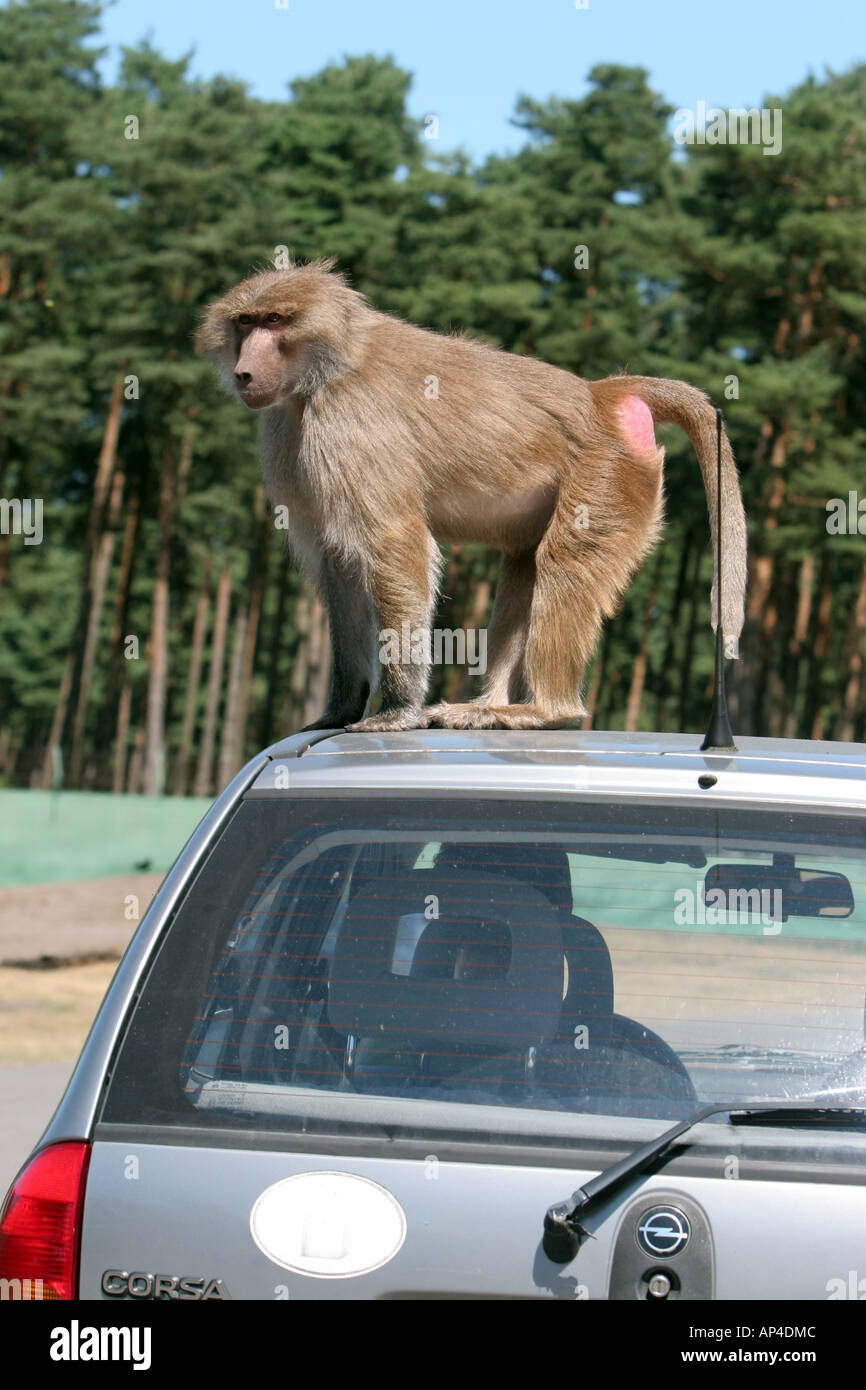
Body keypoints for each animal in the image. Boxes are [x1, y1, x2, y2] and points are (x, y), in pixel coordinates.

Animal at [196, 258, 747, 732]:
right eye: (245, 322)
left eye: (274, 321)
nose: (244, 373)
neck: (326, 369)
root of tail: (600, 394)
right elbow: (341, 563)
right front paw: (340, 709)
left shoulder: (347, 424)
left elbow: (394, 547)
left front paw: (395, 712)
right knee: (526, 562)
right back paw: (490, 705)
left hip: (607, 474)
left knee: (564, 562)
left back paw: (544, 711)